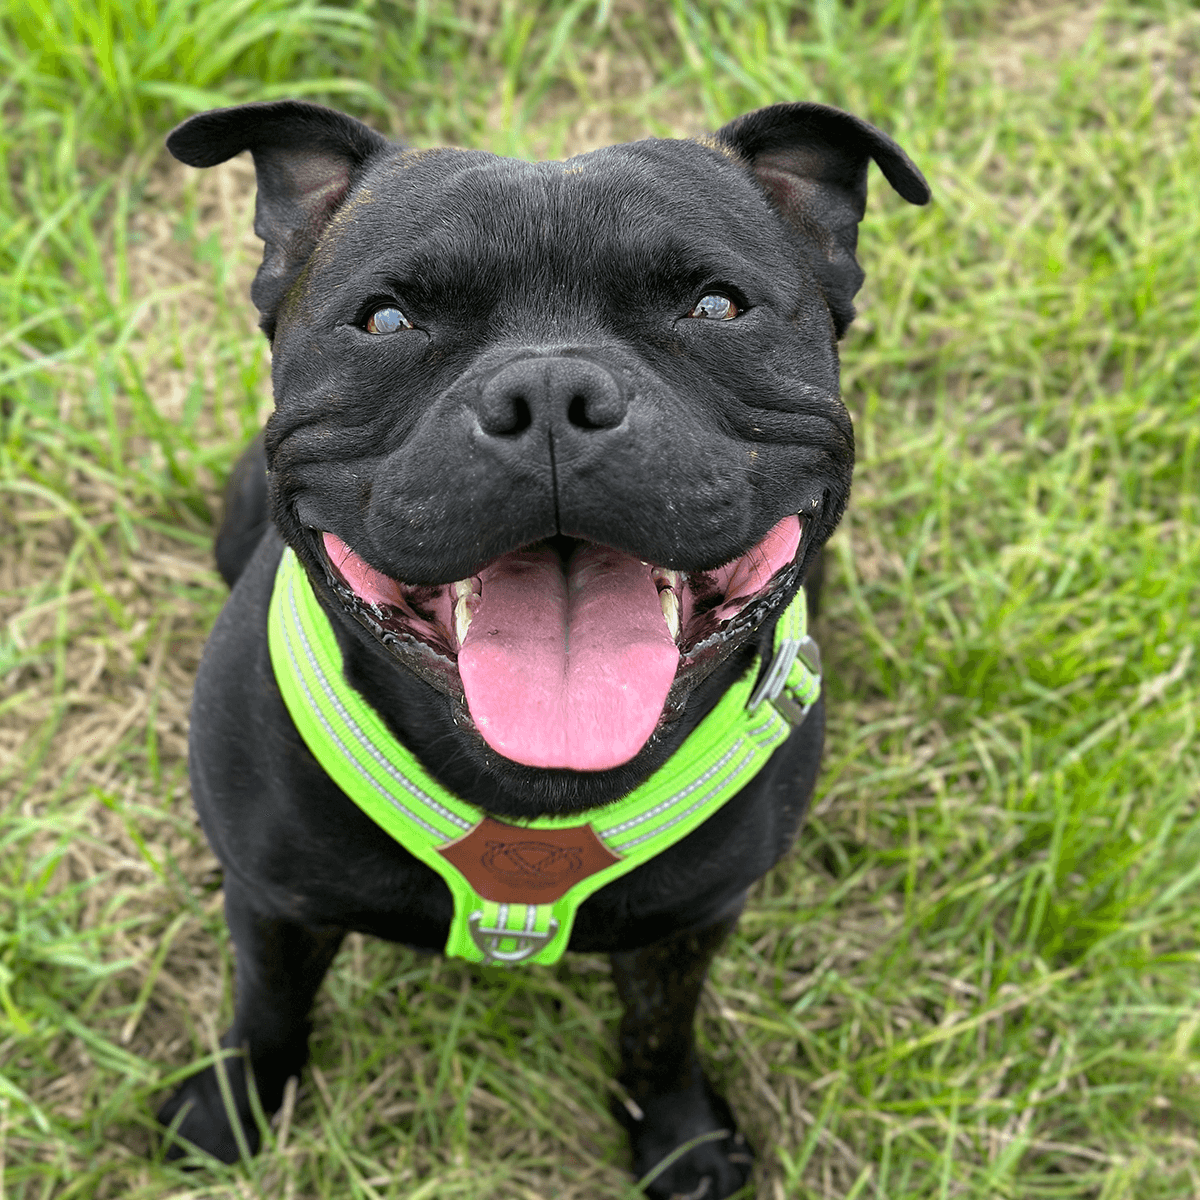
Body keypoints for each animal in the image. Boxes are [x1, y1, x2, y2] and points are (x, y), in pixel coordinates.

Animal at [159, 98, 926, 1195]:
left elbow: (661, 1033)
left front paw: (680, 1139)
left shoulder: (692, 924)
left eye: (717, 307)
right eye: (386, 321)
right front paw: (229, 1115)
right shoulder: (274, 900)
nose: (552, 392)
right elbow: (267, 1006)